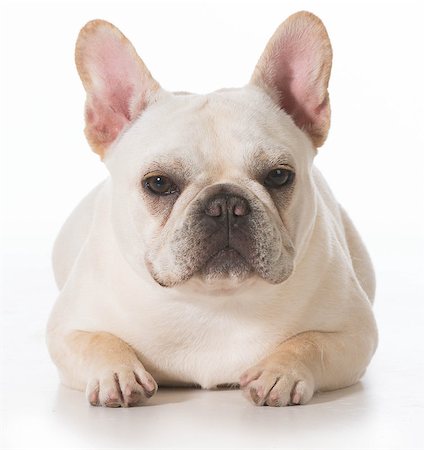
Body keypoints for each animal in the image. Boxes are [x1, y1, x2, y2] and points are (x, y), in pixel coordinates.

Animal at [46, 11, 378, 408]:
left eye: (279, 175)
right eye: (158, 183)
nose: (226, 204)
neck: (215, 303)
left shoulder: (355, 332)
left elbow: (309, 342)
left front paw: (279, 372)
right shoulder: (66, 330)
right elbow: (98, 340)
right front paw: (117, 373)